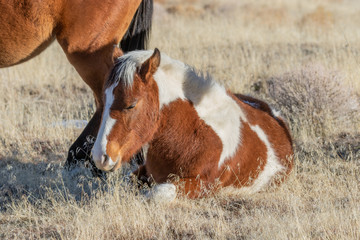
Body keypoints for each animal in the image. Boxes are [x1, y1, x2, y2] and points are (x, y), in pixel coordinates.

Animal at [91, 48, 294, 199]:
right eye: (103, 100)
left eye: (131, 104)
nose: (100, 157)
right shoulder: (144, 171)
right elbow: (127, 183)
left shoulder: (202, 185)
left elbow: (156, 193)